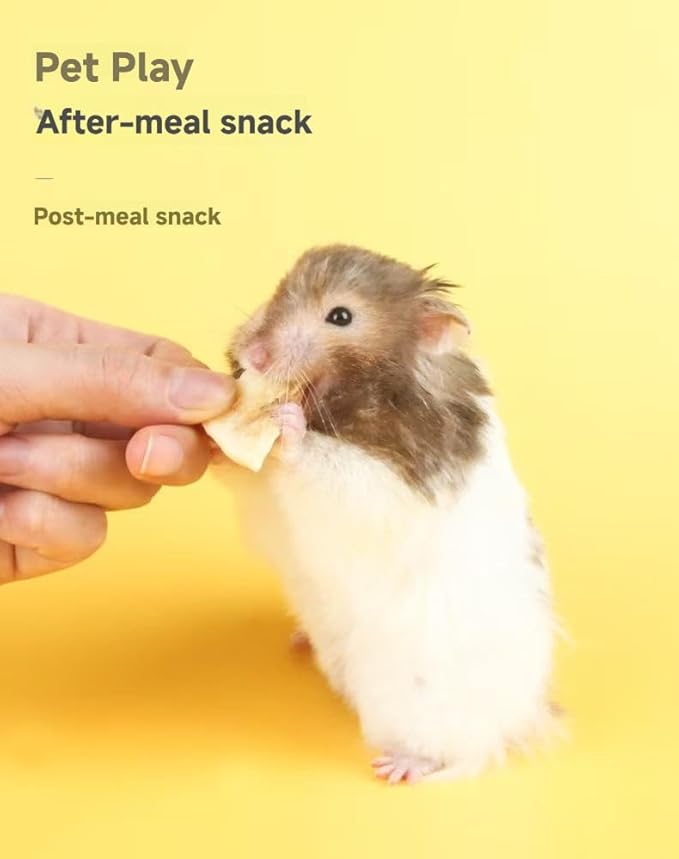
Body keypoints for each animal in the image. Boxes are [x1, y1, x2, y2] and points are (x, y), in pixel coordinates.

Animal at [216, 244, 557, 784]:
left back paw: (401, 766)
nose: (251, 356)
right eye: (278, 289)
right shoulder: (267, 500)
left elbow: (334, 465)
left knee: (457, 750)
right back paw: (303, 642)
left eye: (340, 316)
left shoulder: (391, 491)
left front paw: (287, 425)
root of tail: (521, 716)